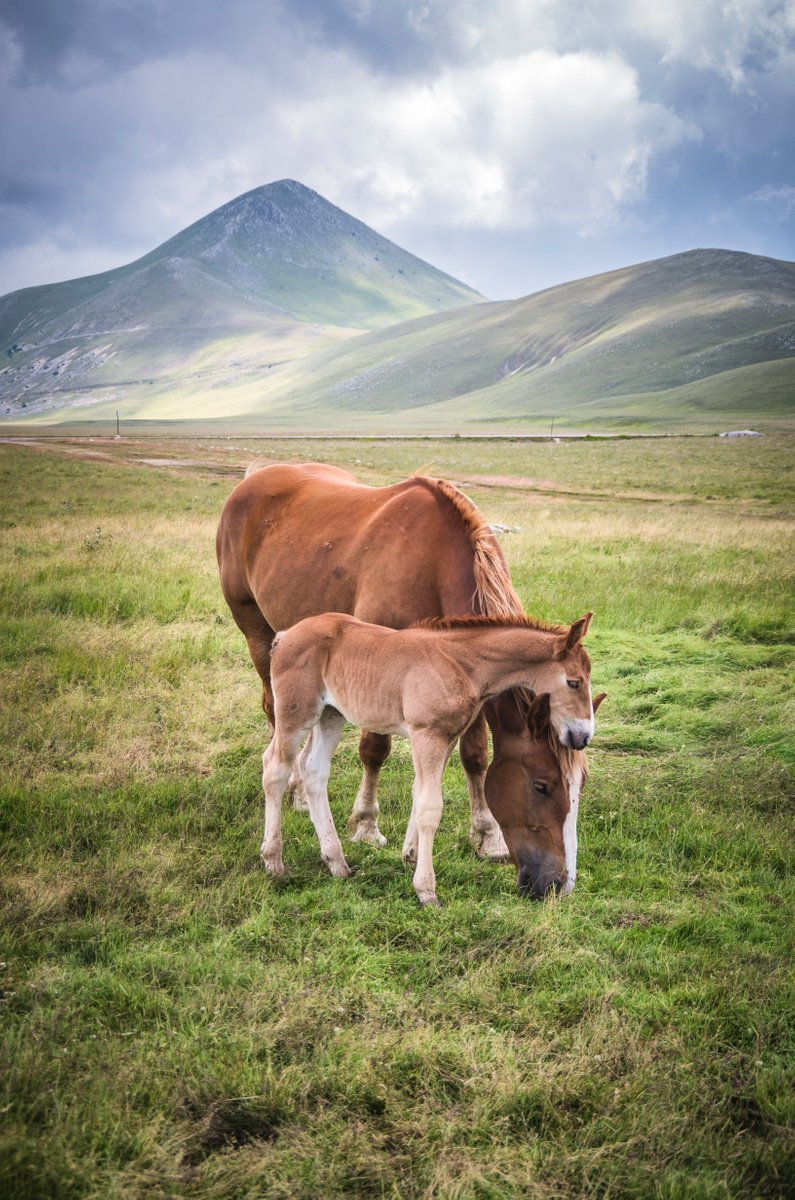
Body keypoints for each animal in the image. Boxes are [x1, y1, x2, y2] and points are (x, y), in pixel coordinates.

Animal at [218, 463, 598, 878]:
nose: (582, 735)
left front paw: (486, 835)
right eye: (541, 785)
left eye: (580, 784)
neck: (433, 560)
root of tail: (255, 476)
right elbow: (375, 749)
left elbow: (474, 755)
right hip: (259, 636)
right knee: (276, 726)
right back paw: (291, 800)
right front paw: (367, 823)